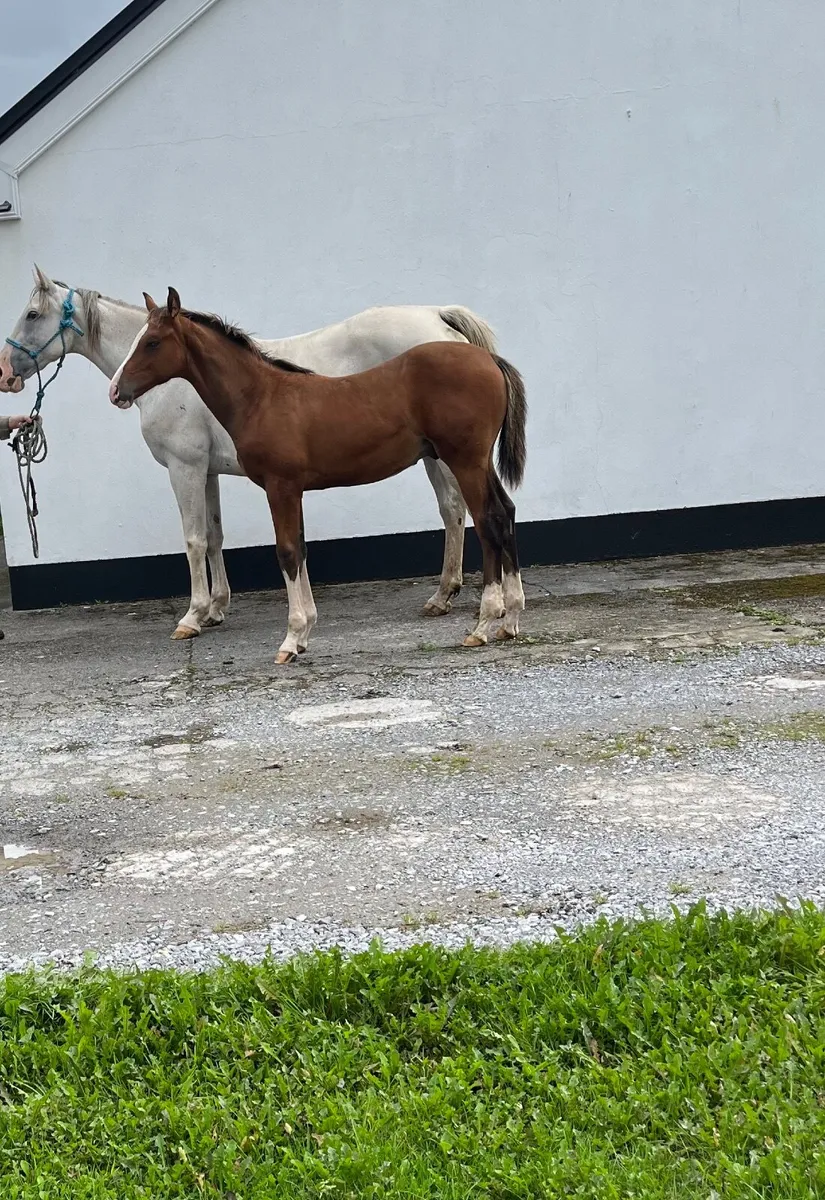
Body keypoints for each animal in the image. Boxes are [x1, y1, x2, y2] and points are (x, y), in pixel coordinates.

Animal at [0, 266, 497, 635]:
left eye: (31, 314)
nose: (6, 374)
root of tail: (437, 316)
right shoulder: (208, 471)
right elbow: (215, 535)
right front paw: (216, 608)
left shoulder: (183, 468)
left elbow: (193, 539)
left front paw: (192, 616)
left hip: (443, 455)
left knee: (456, 509)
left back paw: (447, 595)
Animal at [110, 288, 527, 663]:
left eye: (152, 342)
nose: (116, 391)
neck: (261, 397)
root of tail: (489, 359)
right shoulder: (293, 489)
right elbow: (301, 548)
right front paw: (305, 631)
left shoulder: (279, 487)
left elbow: (287, 552)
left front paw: (290, 640)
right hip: (478, 462)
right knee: (505, 513)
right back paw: (510, 620)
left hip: (465, 461)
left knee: (487, 521)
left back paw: (484, 623)